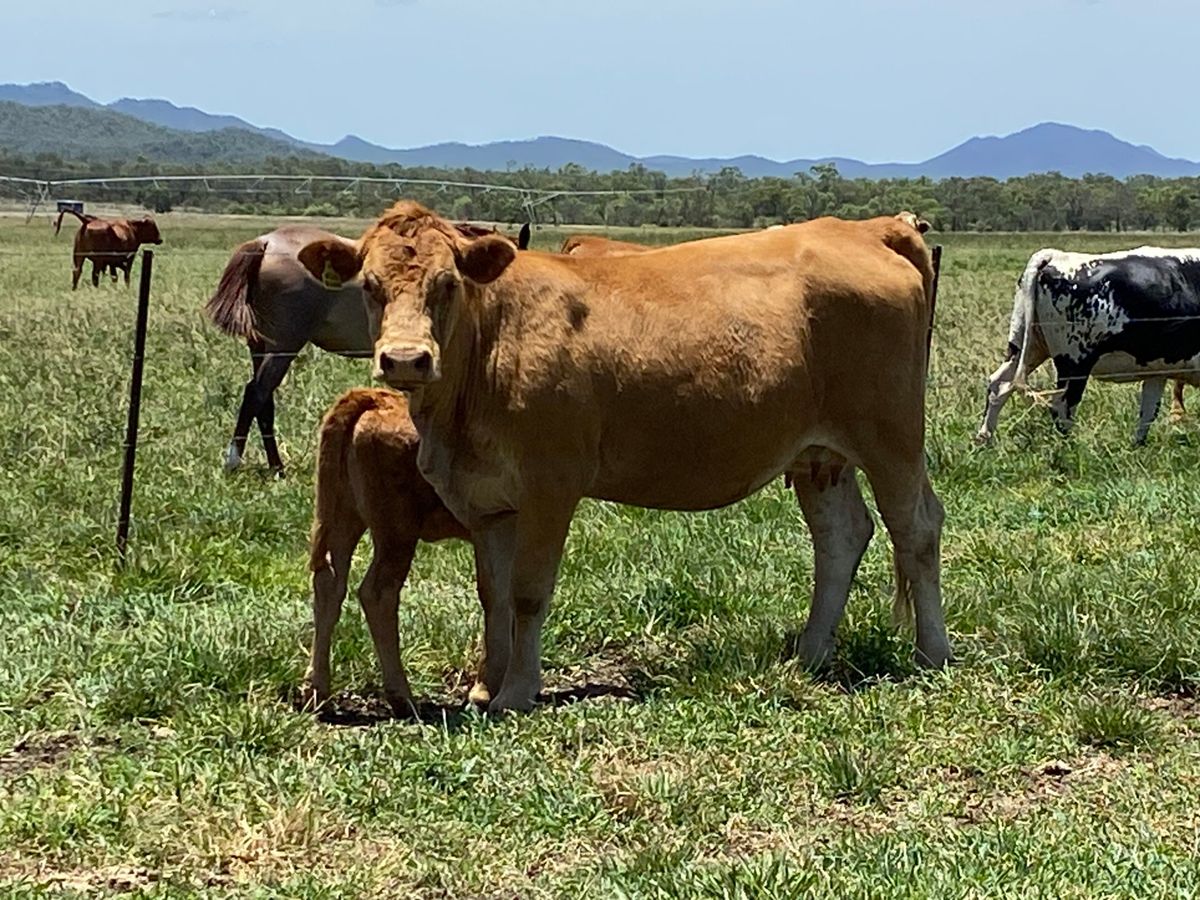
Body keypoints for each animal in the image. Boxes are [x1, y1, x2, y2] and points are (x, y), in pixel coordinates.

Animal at [205, 221, 530, 476]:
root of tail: (266, 242)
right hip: (283, 348)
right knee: (256, 394)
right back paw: (239, 463)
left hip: (260, 348)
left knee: (264, 401)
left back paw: (275, 466)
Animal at [305, 387, 480, 716]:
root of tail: (377, 398)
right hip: (397, 535)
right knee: (378, 593)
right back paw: (402, 697)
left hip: (345, 518)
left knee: (330, 584)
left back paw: (316, 691)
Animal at [978, 246, 1200, 445]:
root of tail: (1054, 255)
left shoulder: (1157, 369)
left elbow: (1148, 412)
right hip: (1074, 362)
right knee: (1062, 405)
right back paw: (1068, 450)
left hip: (1026, 345)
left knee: (999, 385)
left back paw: (985, 441)